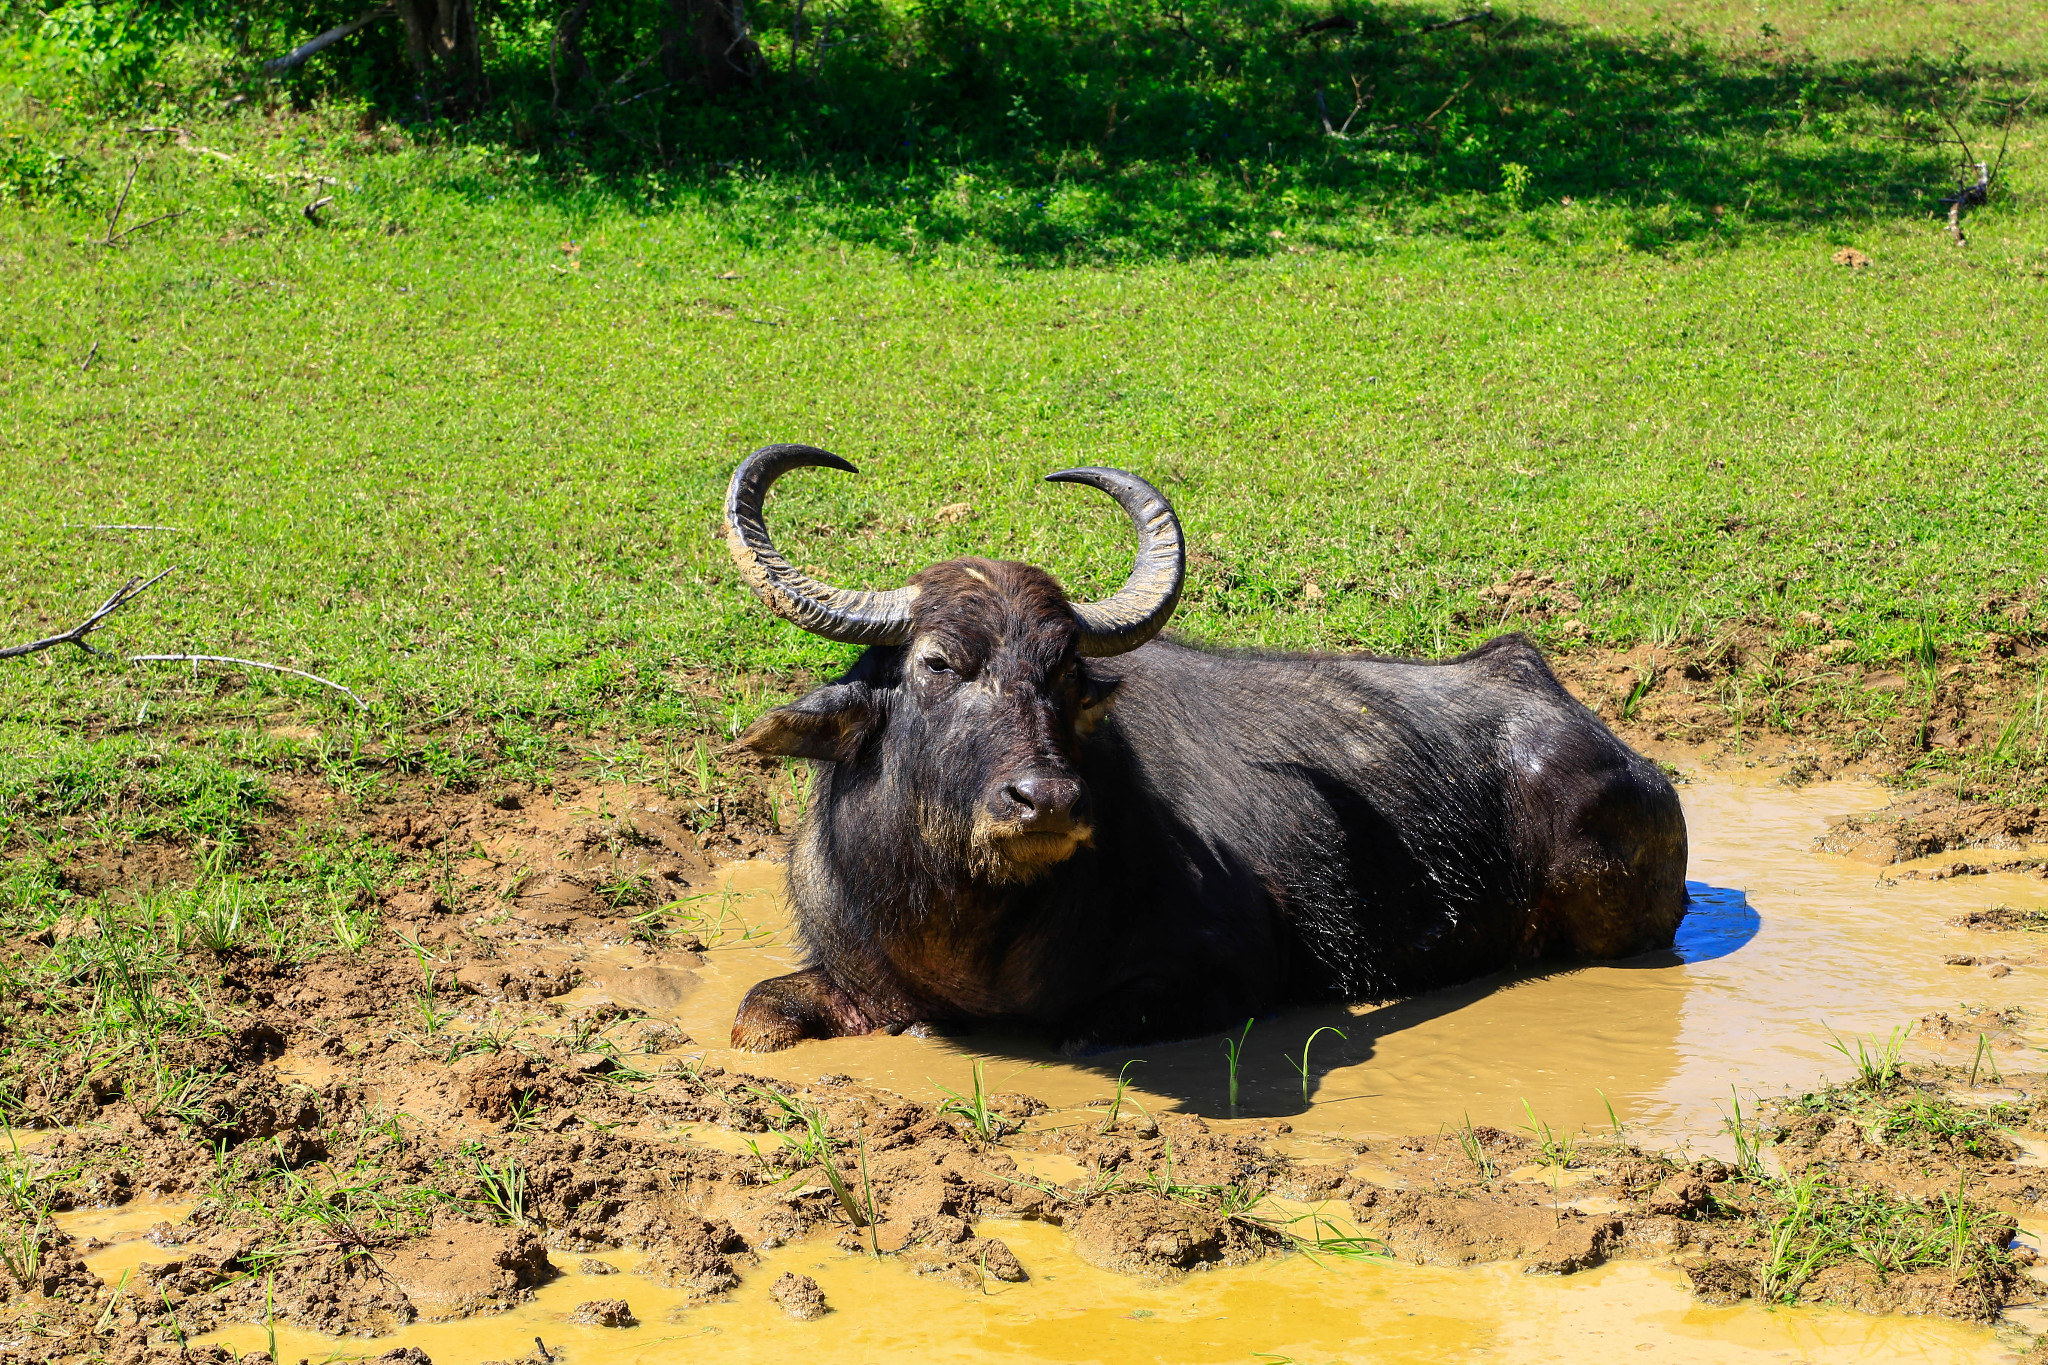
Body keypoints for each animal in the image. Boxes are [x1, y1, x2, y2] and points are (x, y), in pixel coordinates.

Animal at [729, 448, 1687, 1055]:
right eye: (936, 663)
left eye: (1065, 673)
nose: (1048, 801)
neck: (970, 922)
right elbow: (753, 1014)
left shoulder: (1218, 976)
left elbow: (1086, 1029)